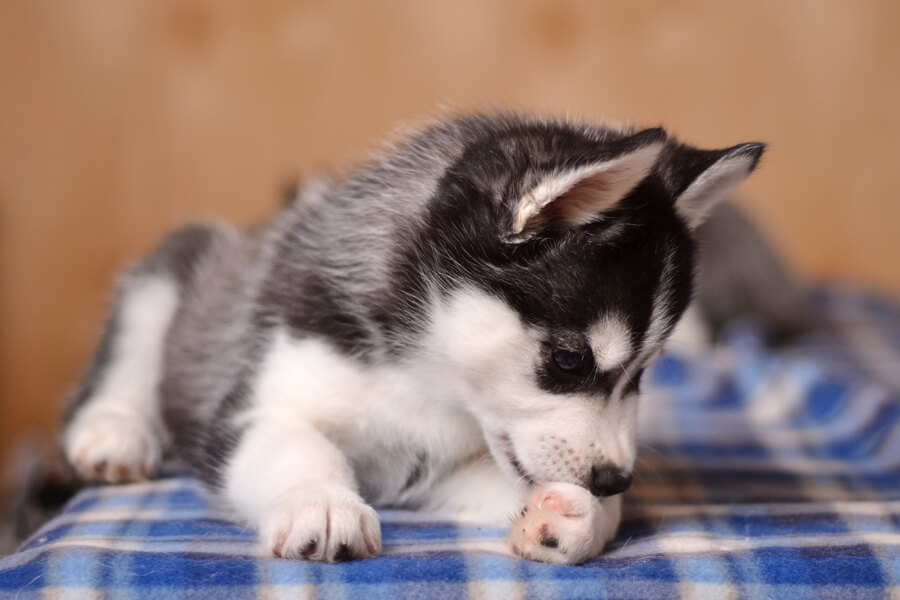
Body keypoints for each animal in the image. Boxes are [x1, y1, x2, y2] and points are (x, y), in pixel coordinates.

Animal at [59, 113, 764, 568]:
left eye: (645, 372)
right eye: (569, 359)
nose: (616, 478)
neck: (424, 381)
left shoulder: (438, 471)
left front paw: (578, 517)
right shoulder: (254, 404)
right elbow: (297, 449)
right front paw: (321, 502)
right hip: (171, 272)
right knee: (131, 350)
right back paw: (115, 432)